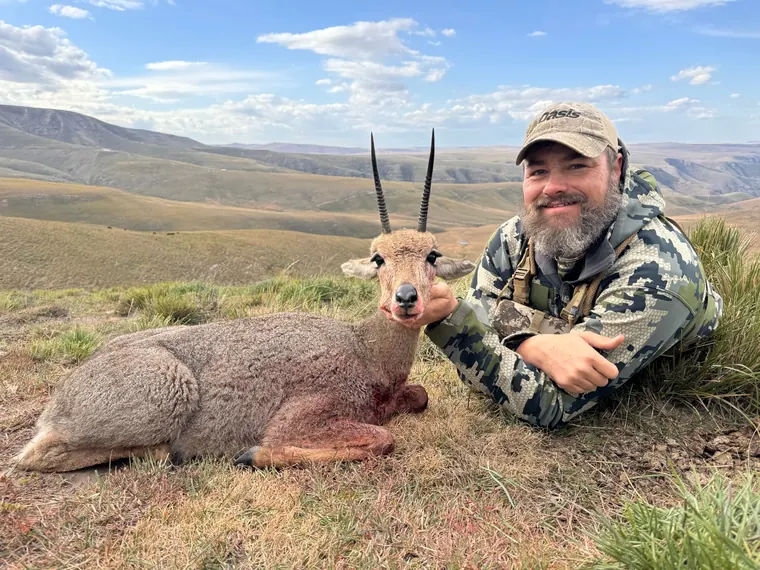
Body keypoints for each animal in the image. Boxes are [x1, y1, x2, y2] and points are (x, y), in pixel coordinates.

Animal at [12, 130, 475, 473]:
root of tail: (61, 398)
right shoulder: (302, 418)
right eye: (378, 257)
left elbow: (419, 396)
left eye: (432, 255)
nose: (405, 298)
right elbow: (382, 438)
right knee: (34, 457)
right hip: (165, 395)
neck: (365, 350)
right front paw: (252, 454)